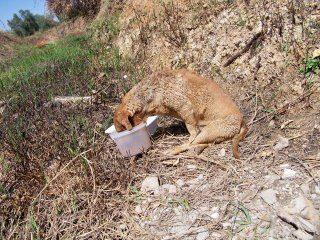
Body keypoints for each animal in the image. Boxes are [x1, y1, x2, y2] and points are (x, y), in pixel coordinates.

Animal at [114, 69, 249, 159]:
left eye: (121, 129)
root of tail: (242, 121)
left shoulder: (185, 108)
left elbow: (192, 131)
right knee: (204, 143)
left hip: (208, 131)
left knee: (191, 143)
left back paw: (173, 150)